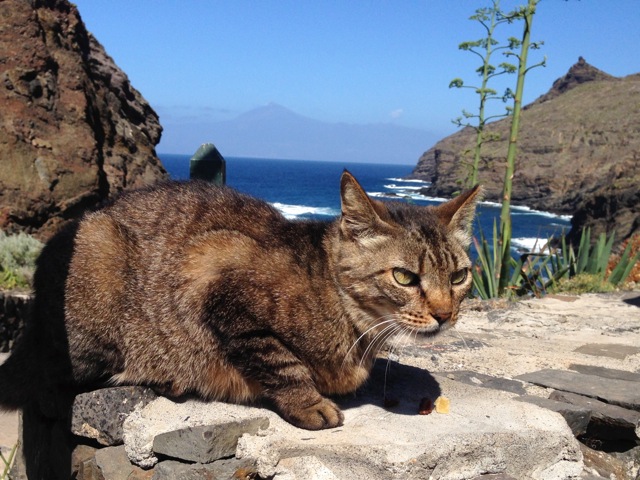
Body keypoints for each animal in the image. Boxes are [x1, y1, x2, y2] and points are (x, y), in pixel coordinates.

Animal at [1, 171, 480, 430]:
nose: (444, 314)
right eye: (404, 277)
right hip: (99, 275)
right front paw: (310, 403)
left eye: (459, 276)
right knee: (52, 381)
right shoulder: (212, 272)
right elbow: (281, 362)